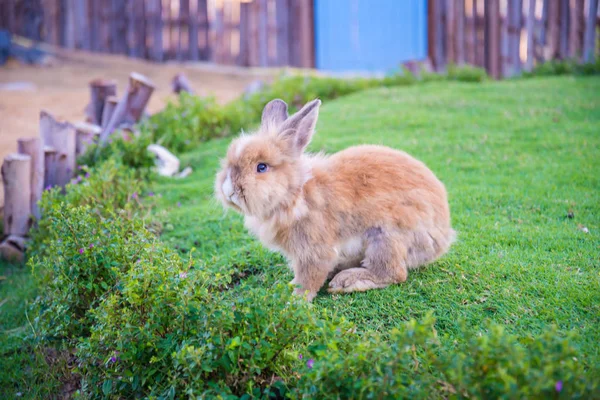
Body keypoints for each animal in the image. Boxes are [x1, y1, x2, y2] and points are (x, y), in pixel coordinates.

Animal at [216, 98, 454, 302]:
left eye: (261, 167)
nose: (228, 190)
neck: (297, 193)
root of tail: (444, 235)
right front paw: (287, 287)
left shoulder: (314, 251)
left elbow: (309, 278)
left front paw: (295, 301)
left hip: (386, 237)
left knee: (394, 273)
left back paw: (346, 281)